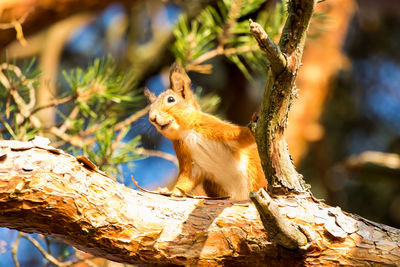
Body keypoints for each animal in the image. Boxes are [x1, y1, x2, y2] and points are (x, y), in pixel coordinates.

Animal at [145, 63, 268, 200]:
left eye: (171, 99)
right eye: (149, 109)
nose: (152, 118)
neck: (187, 133)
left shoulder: (214, 128)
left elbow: (240, 135)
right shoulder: (188, 159)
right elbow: (186, 179)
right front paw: (172, 191)